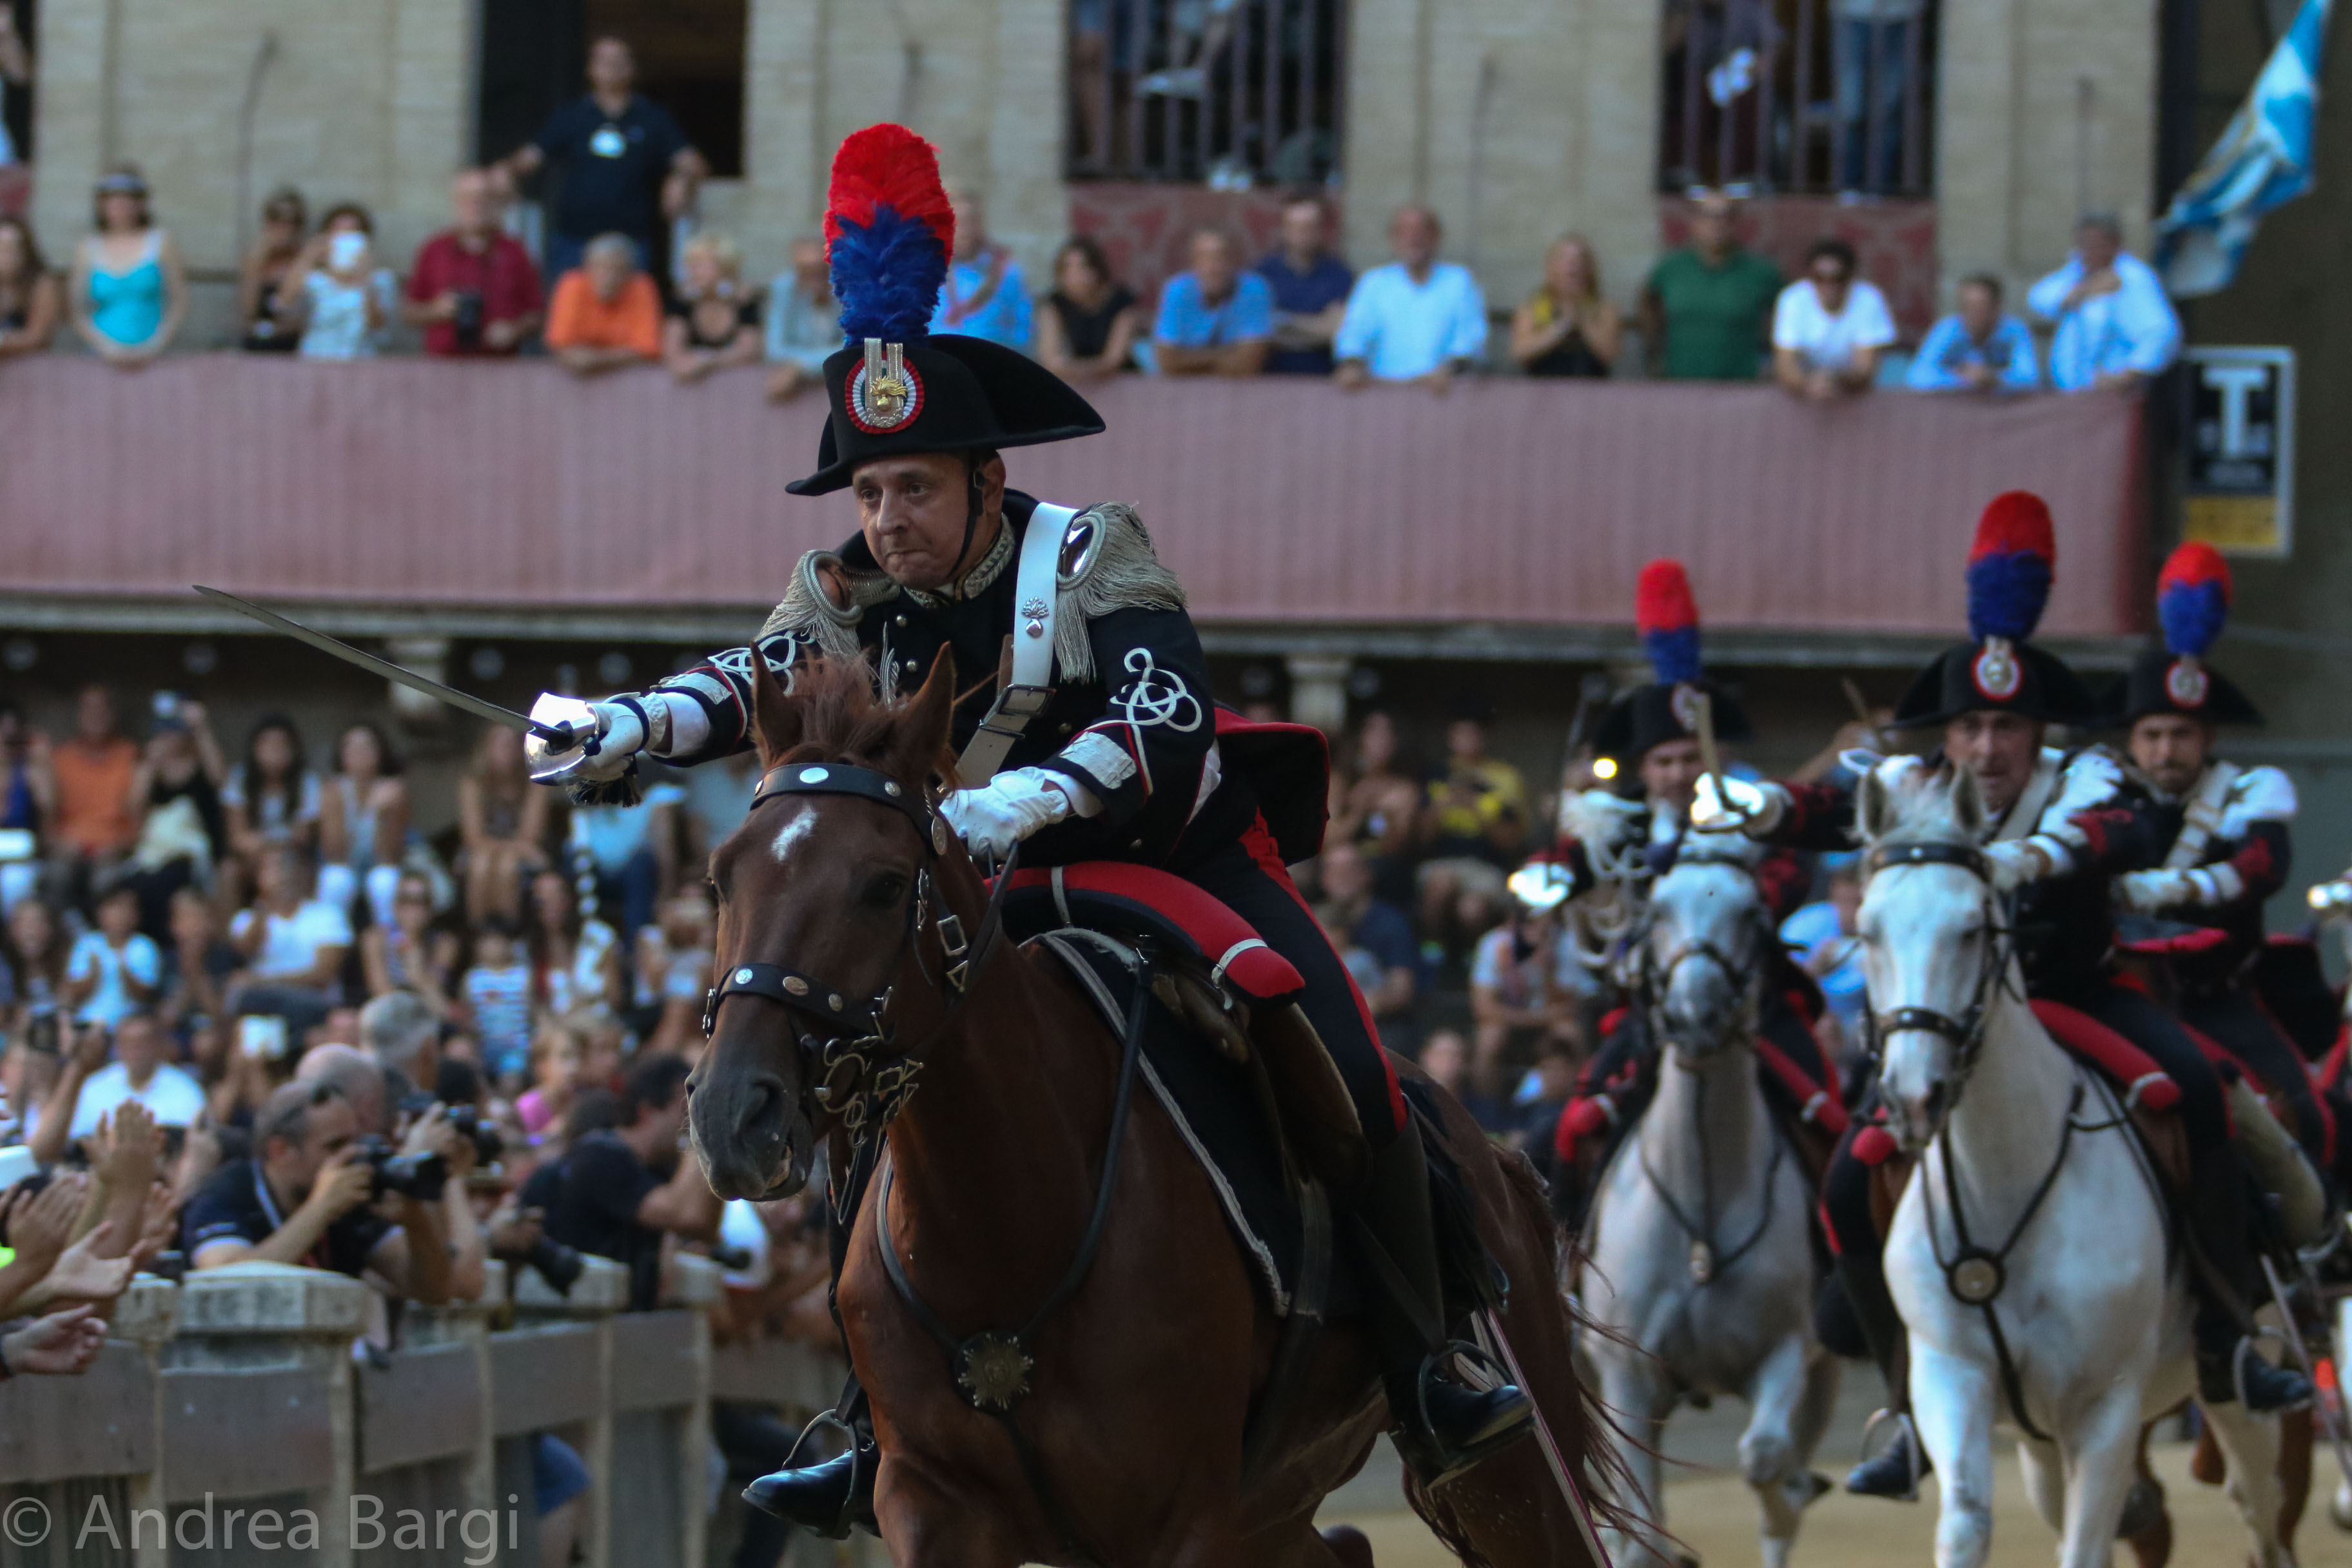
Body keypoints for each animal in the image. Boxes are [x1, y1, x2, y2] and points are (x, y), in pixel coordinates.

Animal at [687, 649, 1627, 1568]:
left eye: (883, 886)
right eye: (721, 878)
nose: (734, 1112)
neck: (1009, 1225)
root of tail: (1487, 1147)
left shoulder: (1186, 1521)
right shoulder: (932, 1506)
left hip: (1509, 1478)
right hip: (1277, 1511)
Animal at [1580, 841, 1834, 1561]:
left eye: (1751, 913)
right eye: (1659, 910)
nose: (1696, 1016)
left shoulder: (1787, 1347)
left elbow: (1764, 1456)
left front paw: (1790, 1493)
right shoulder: (1628, 1373)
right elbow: (1637, 1525)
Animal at [1844, 752, 2286, 1561]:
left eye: (1972, 927)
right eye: (1867, 930)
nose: (1913, 1094)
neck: (2000, 1184)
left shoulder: (2105, 1406)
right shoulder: (1951, 1378)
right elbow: (1967, 1520)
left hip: (2236, 1387)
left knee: (2260, 1506)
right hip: (2039, 1442)